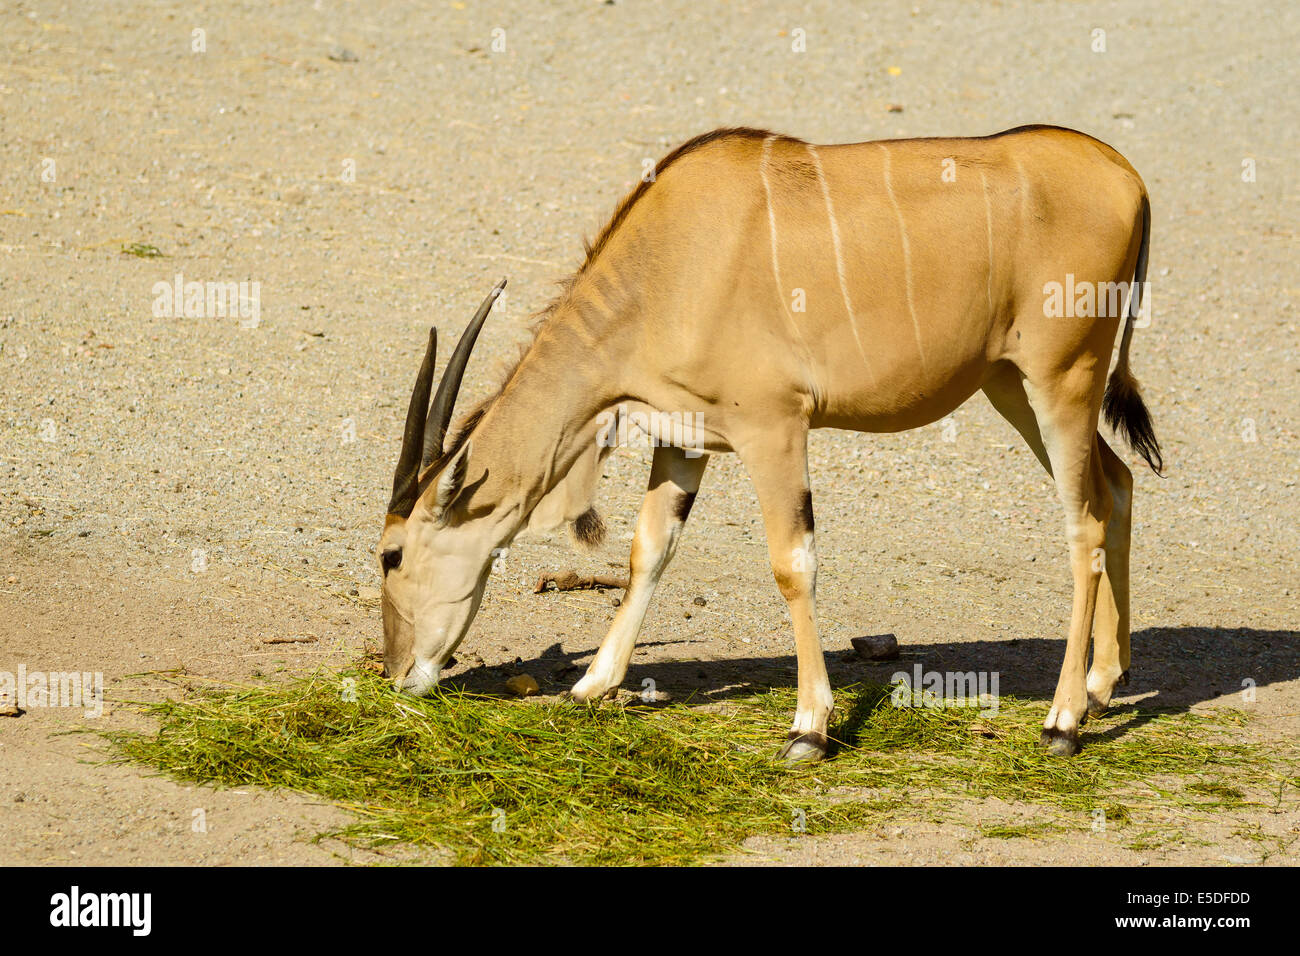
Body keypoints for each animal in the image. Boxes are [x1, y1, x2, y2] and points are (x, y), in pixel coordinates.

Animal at [377, 125, 1159, 764]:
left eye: (391, 555)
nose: (397, 672)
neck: (667, 263)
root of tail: (1129, 177)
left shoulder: (774, 428)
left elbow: (793, 564)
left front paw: (809, 727)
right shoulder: (683, 441)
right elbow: (648, 549)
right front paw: (593, 684)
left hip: (1060, 382)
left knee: (1085, 522)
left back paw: (1062, 721)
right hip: (1011, 387)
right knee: (1117, 485)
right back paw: (1101, 683)